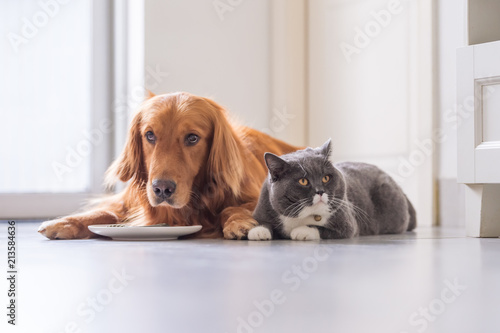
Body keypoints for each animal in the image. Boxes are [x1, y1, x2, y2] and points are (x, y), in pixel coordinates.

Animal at [248, 139, 416, 240]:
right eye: (303, 181)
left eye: (326, 178)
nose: (320, 191)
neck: (300, 216)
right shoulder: (264, 205)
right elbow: (262, 222)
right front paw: (258, 231)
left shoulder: (347, 223)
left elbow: (323, 229)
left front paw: (302, 231)